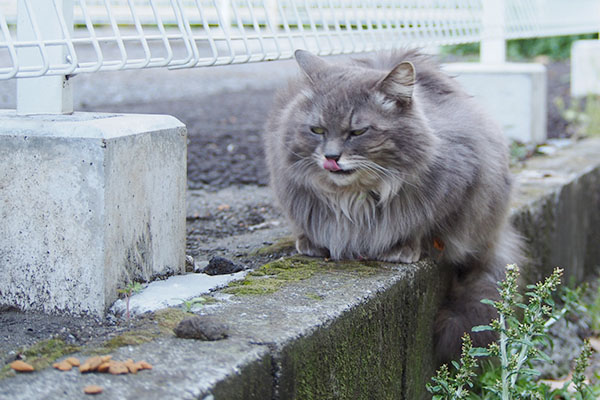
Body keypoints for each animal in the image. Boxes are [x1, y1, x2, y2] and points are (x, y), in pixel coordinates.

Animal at [264, 48, 524, 360]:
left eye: (358, 132)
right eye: (317, 130)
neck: (354, 199)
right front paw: (311, 243)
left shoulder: (457, 187)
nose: (331, 157)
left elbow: (422, 228)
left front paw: (402, 249)